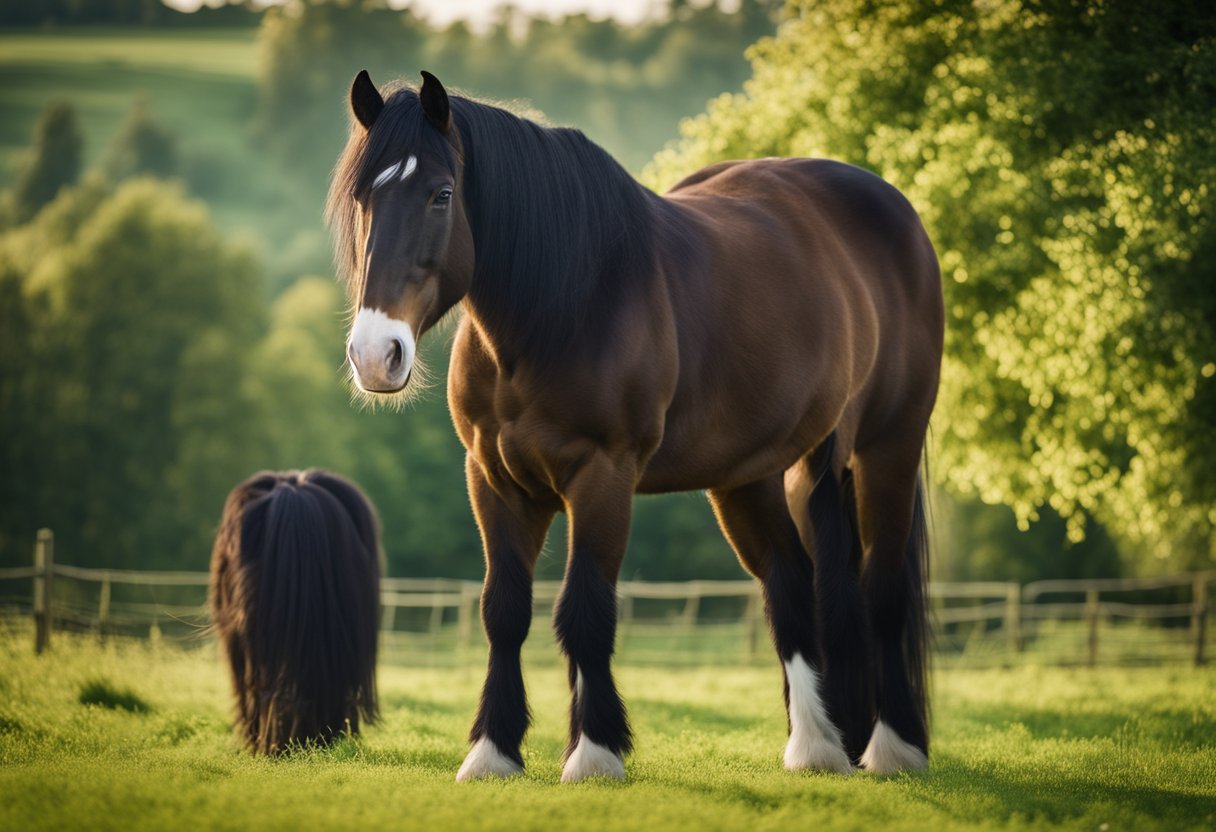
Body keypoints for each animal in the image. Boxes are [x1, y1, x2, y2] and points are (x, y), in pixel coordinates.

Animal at [328, 69, 943, 778]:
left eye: (442, 194)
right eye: (363, 198)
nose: (377, 355)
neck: (564, 303)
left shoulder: (604, 474)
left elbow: (585, 611)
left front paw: (594, 753)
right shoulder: (494, 479)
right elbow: (503, 611)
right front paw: (492, 753)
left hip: (887, 448)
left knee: (882, 589)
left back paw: (893, 748)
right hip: (754, 474)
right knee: (792, 588)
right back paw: (816, 747)